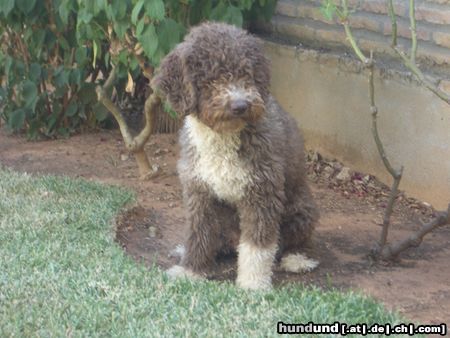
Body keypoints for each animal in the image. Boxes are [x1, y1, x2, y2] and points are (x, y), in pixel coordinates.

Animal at [152, 21, 320, 290]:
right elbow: (199, 233)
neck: (223, 136)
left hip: (303, 209)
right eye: (212, 77)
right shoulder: (199, 190)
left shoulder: (262, 191)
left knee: (294, 240)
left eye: (247, 74)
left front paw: (253, 284)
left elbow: (257, 246)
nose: (240, 105)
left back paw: (297, 259)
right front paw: (191, 270)